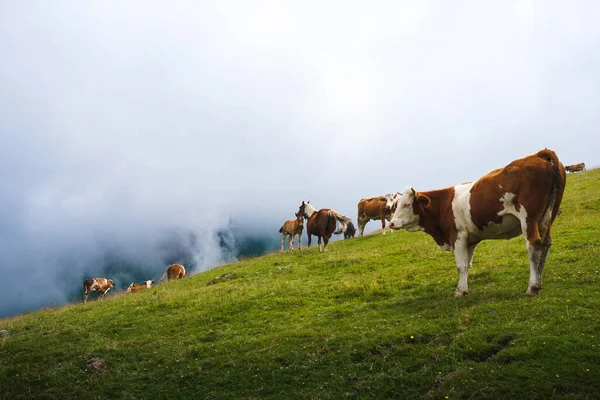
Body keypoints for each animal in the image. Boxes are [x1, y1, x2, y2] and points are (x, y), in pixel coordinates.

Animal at [386, 149, 564, 296]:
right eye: (395, 205)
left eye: (406, 204)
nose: (391, 224)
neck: (443, 204)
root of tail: (539, 154)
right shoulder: (470, 240)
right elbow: (467, 264)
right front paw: (463, 288)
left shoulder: (457, 236)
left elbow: (461, 264)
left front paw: (460, 291)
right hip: (547, 216)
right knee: (545, 244)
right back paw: (539, 282)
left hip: (529, 218)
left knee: (533, 244)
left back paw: (532, 287)